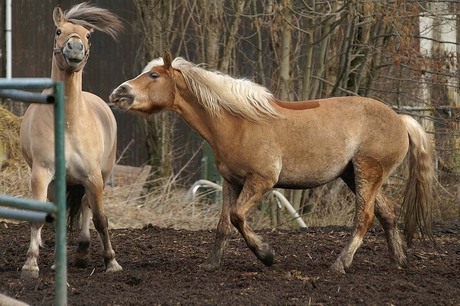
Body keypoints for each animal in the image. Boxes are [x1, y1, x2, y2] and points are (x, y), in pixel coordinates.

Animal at [19, 2, 123, 280]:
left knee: (86, 208)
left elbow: (100, 219)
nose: (74, 47)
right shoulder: (42, 174)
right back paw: (60, 261)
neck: (68, 124)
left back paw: (84, 253)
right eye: (58, 31)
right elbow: (40, 218)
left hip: (98, 176)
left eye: (87, 36)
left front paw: (111, 262)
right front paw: (31, 264)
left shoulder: (94, 177)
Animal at [108, 51, 434, 274]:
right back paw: (399, 261)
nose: (119, 92)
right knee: (387, 214)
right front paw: (212, 264)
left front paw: (266, 254)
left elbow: (237, 217)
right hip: (354, 176)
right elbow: (223, 225)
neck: (237, 122)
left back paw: (340, 264)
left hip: (367, 172)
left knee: (364, 218)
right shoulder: (231, 182)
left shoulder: (261, 182)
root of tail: (400, 119)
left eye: (154, 76)